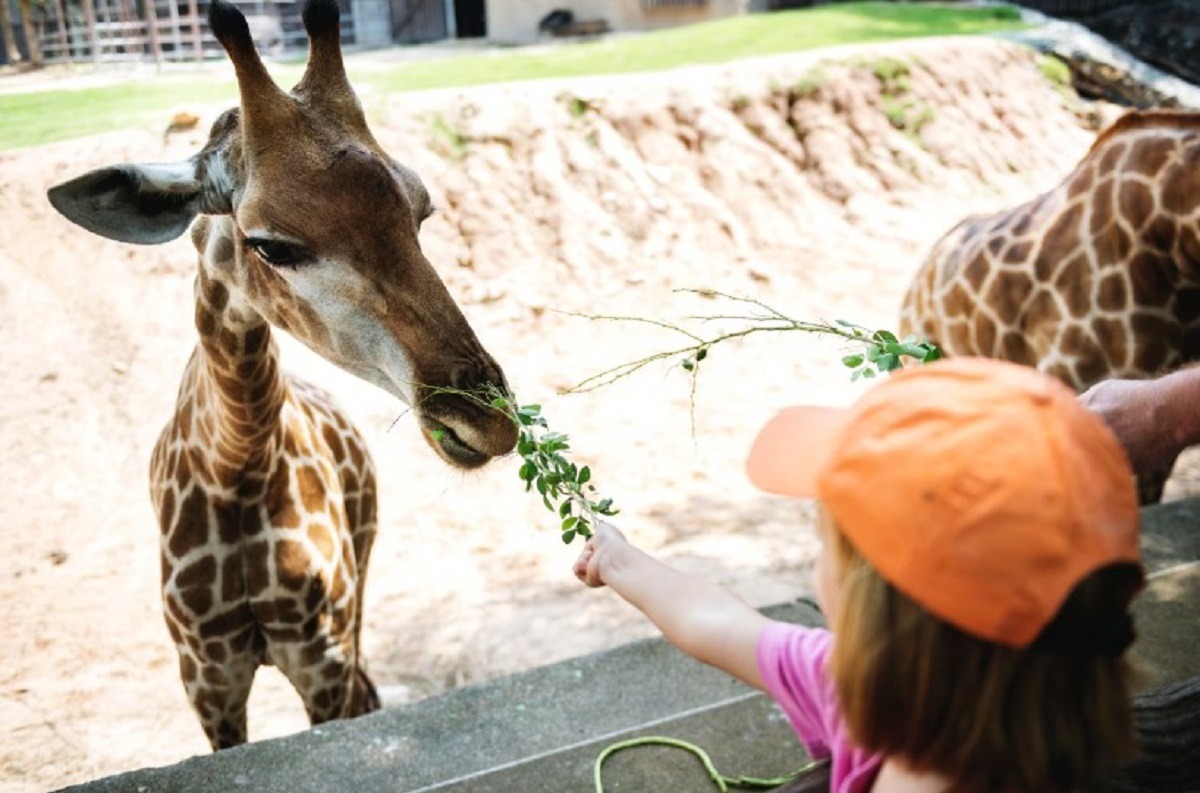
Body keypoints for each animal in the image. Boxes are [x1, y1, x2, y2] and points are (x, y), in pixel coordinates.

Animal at [46, 0, 518, 749]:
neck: (236, 463)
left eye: (421, 211)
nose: (487, 419)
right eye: (270, 244)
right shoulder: (207, 678)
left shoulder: (319, 656)